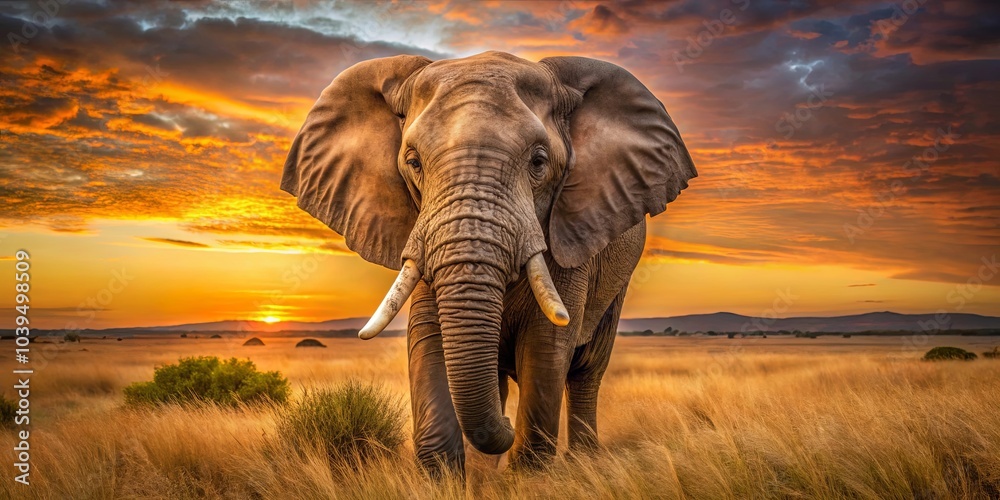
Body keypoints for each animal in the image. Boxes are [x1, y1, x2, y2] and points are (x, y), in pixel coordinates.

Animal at [280, 51, 696, 475]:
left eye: (539, 162)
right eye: (413, 163)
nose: (506, 424)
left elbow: (547, 342)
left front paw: (527, 473)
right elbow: (428, 336)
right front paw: (450, 476)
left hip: (616, 282)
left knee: (586, 371)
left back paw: (582, 460)